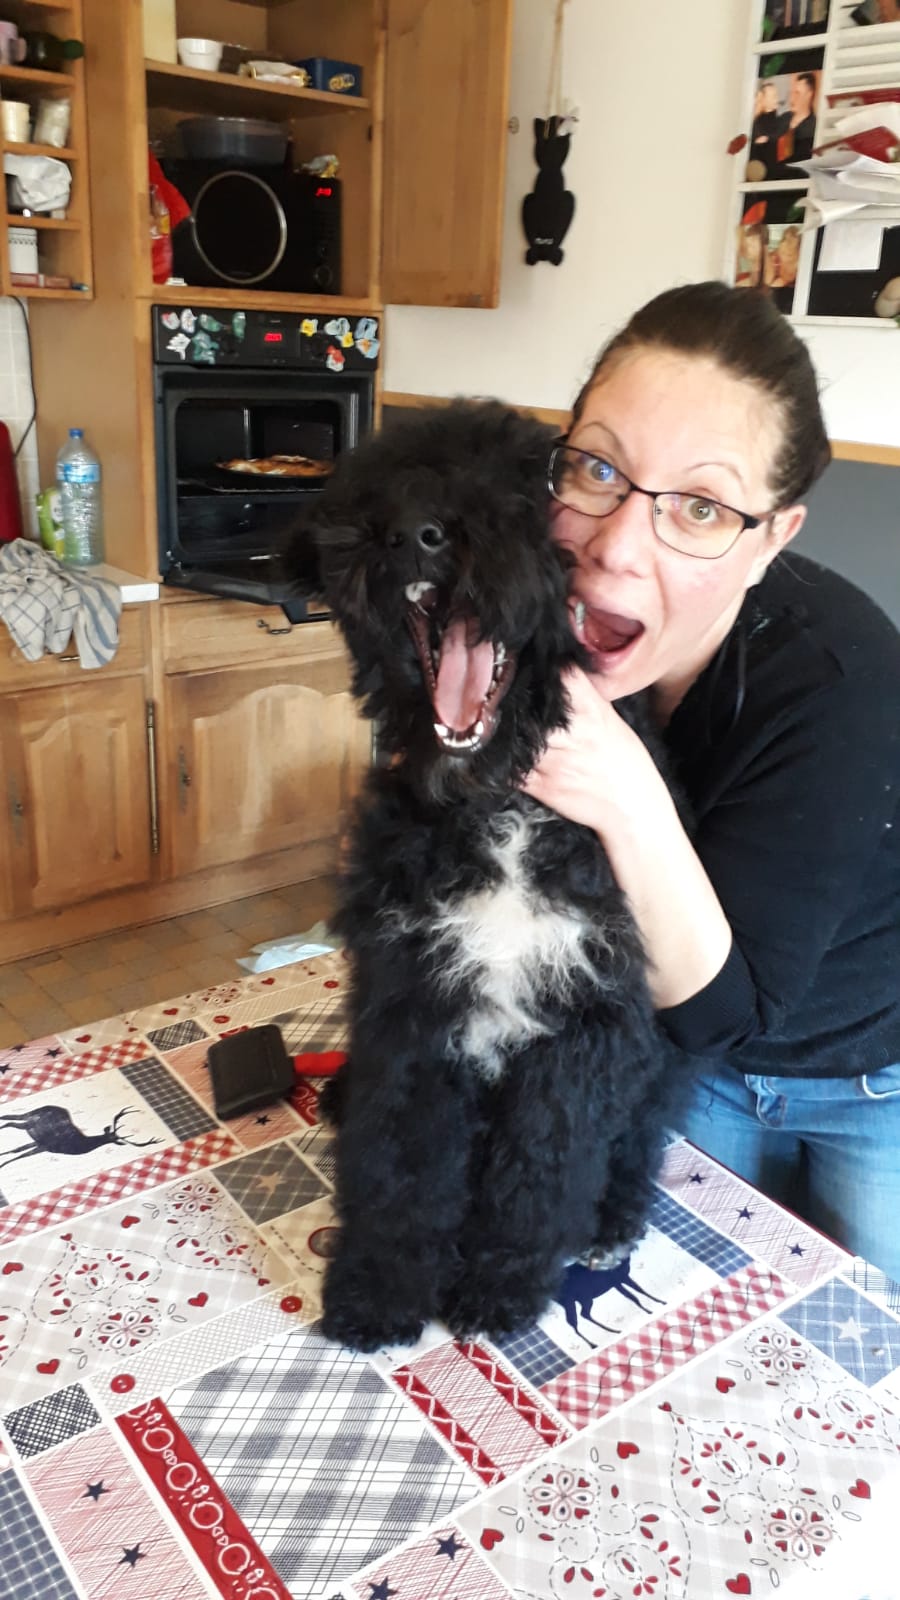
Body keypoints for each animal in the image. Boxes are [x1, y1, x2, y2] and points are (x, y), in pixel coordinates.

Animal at [294, 399, 687, 1353]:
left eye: (527, 482)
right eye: (375, 483)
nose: (412, 534)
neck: (495, 802)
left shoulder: (582, 1028)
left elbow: (539, 1174)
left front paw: (502, 1288)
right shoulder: (411, 1006)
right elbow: (402, 1167)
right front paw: (379, 1291)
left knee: (637, 1146)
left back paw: (611, 1220)